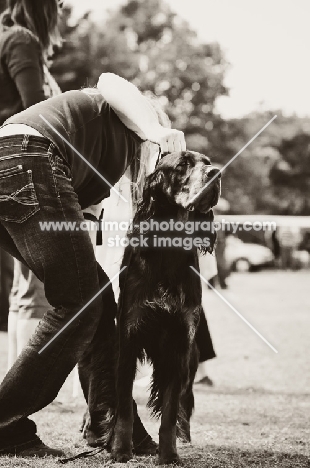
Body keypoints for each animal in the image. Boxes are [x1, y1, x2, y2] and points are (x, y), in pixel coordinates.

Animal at [111, 151, 220, 464]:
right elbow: (125, 406)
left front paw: (169, 454)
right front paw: (121, 450)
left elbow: (170, 410)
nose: (216, 173)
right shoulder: (128, 338)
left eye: (207, 162)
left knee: (184, 400)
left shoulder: (180, 343)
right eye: (182, 164)